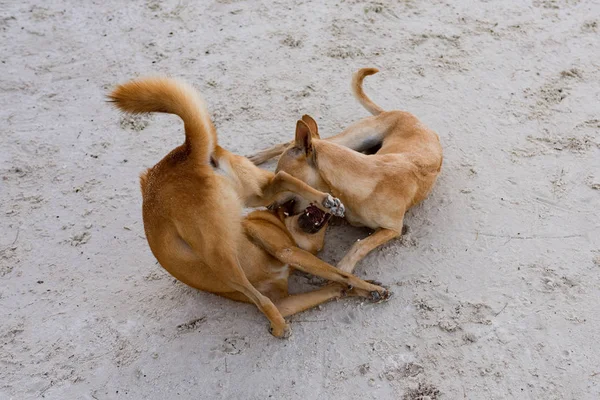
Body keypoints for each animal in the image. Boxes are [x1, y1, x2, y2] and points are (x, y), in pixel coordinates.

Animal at [108, 77, 392, 338]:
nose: (278, 208)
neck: (282, 226)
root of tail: (186, 154)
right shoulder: (287, 277)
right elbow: (336, 279)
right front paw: (364, 288)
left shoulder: (288, 262)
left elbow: (335, 275)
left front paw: (366, 288)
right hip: (236, 225)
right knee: (281, 179)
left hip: (221, 247)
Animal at [248, 68, 440, 276]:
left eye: (281, 177)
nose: (268, 206)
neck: (363, 180)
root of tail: (398, 112)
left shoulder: (393, 229)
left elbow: (361, 245)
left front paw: (343, 268)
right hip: (351, 139)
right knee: (288, 142)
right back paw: (256, 157)